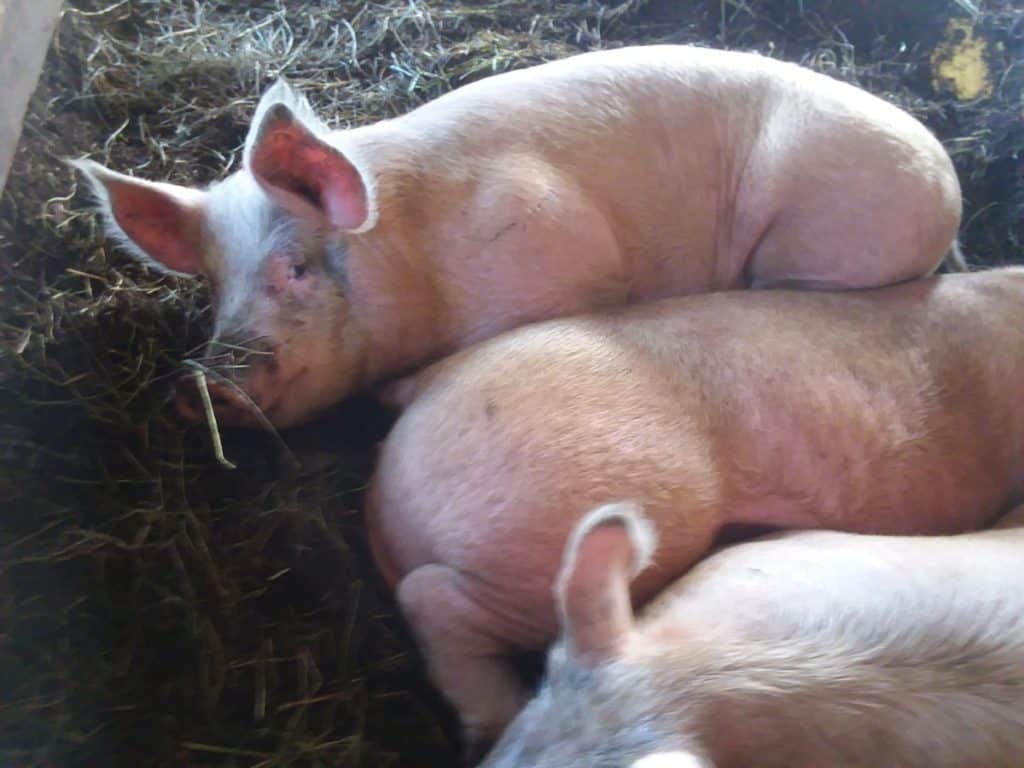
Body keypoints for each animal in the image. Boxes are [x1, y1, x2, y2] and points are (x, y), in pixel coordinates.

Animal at [70, 45, 958, 430]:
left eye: (295, 269)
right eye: (212, 287)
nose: (201, 387)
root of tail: (944, 176)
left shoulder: (558, 254)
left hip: (826, 245)